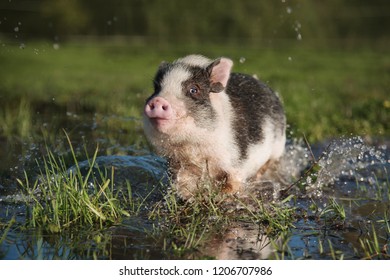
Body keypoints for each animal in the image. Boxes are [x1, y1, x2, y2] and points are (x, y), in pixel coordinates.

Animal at [143, 54, 286, 200]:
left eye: (194, 89)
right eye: (157, 88)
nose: (158, 100)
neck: (192, 145)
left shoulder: (236, 163)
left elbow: (232, 184)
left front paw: (218, 196)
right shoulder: (178, 164)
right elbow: (183, 183)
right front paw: (189, 197)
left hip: (276, 150)